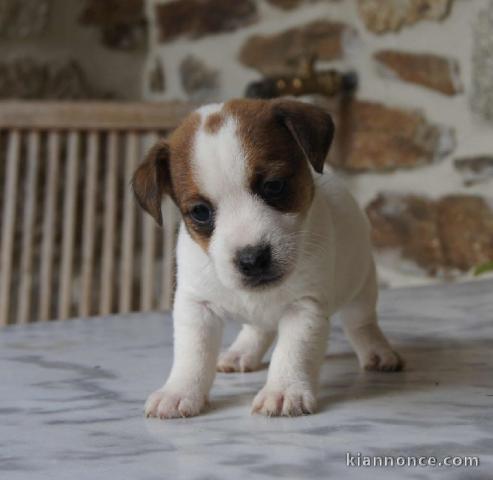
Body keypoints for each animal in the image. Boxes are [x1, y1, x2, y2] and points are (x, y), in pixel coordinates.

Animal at [133, 98, 402, 420]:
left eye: (274, 186)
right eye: (200, 211)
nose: (252, 259)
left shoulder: (304, 307)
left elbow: (292, 352)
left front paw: (284, 390)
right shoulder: (196, 306)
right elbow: (192, 354)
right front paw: (178, 391)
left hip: (362, 286)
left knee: (361, 323)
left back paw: (378, 351)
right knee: (257, 328)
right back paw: (241, 352)